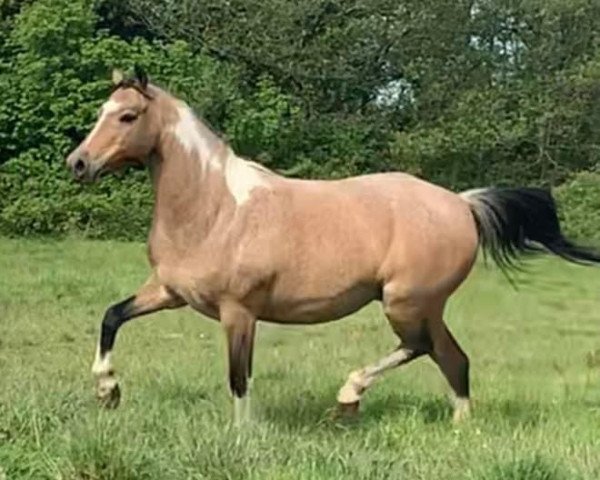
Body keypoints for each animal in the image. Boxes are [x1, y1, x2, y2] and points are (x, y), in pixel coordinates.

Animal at [65, 67, 600, 424]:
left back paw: (350, 395)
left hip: (407, 303)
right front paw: (108, 392)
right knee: (453, 359)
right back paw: (457, 425)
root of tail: (462, 203)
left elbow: (239, 378)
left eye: (128, 115)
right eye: (102, 112)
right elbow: (111, 317)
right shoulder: (169, 292)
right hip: (422, 306)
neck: (214, 209)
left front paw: (241, 436)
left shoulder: (239, 312)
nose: (78, 163)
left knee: (426, 348)